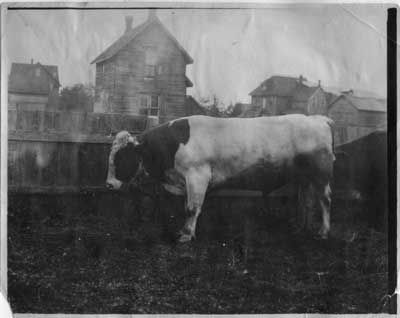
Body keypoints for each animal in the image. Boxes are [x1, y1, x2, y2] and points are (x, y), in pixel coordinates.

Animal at [105, 114, 334, 241]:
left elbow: (192, 208)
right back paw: (301, 227)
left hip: (321, 174)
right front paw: (186, 230)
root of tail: (317, 118)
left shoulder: (197, 175)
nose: (109, 184)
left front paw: (186, 234)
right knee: (306, 201)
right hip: (304, 177)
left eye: (122, 156)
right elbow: (187, 206)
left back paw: (323, 231)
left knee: (324, 200)